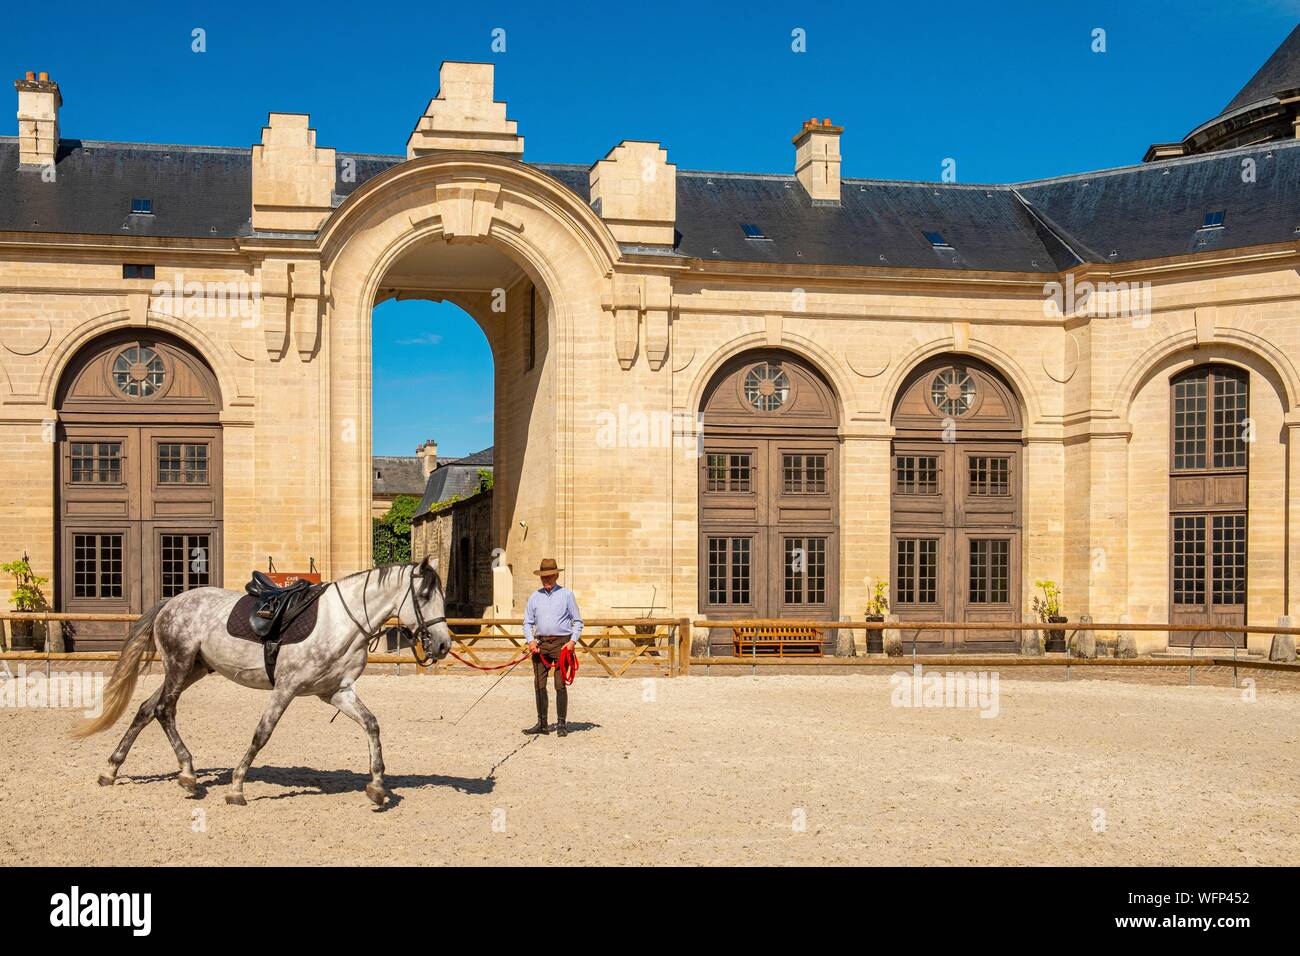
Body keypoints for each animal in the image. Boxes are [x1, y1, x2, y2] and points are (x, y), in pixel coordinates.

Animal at [77, 561, 452, 806]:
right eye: (423, 594)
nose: (443, 644)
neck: (343, 621)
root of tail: (172, 601)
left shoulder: (336, 692)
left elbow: (372, 725)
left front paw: (376, 786)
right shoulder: (286, 688)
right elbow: (262, 734)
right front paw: (236, 788)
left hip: (191, 670)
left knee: (147, 708)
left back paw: (112, 770)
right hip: (179, 665)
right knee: (164, 710)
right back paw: (187, 775)